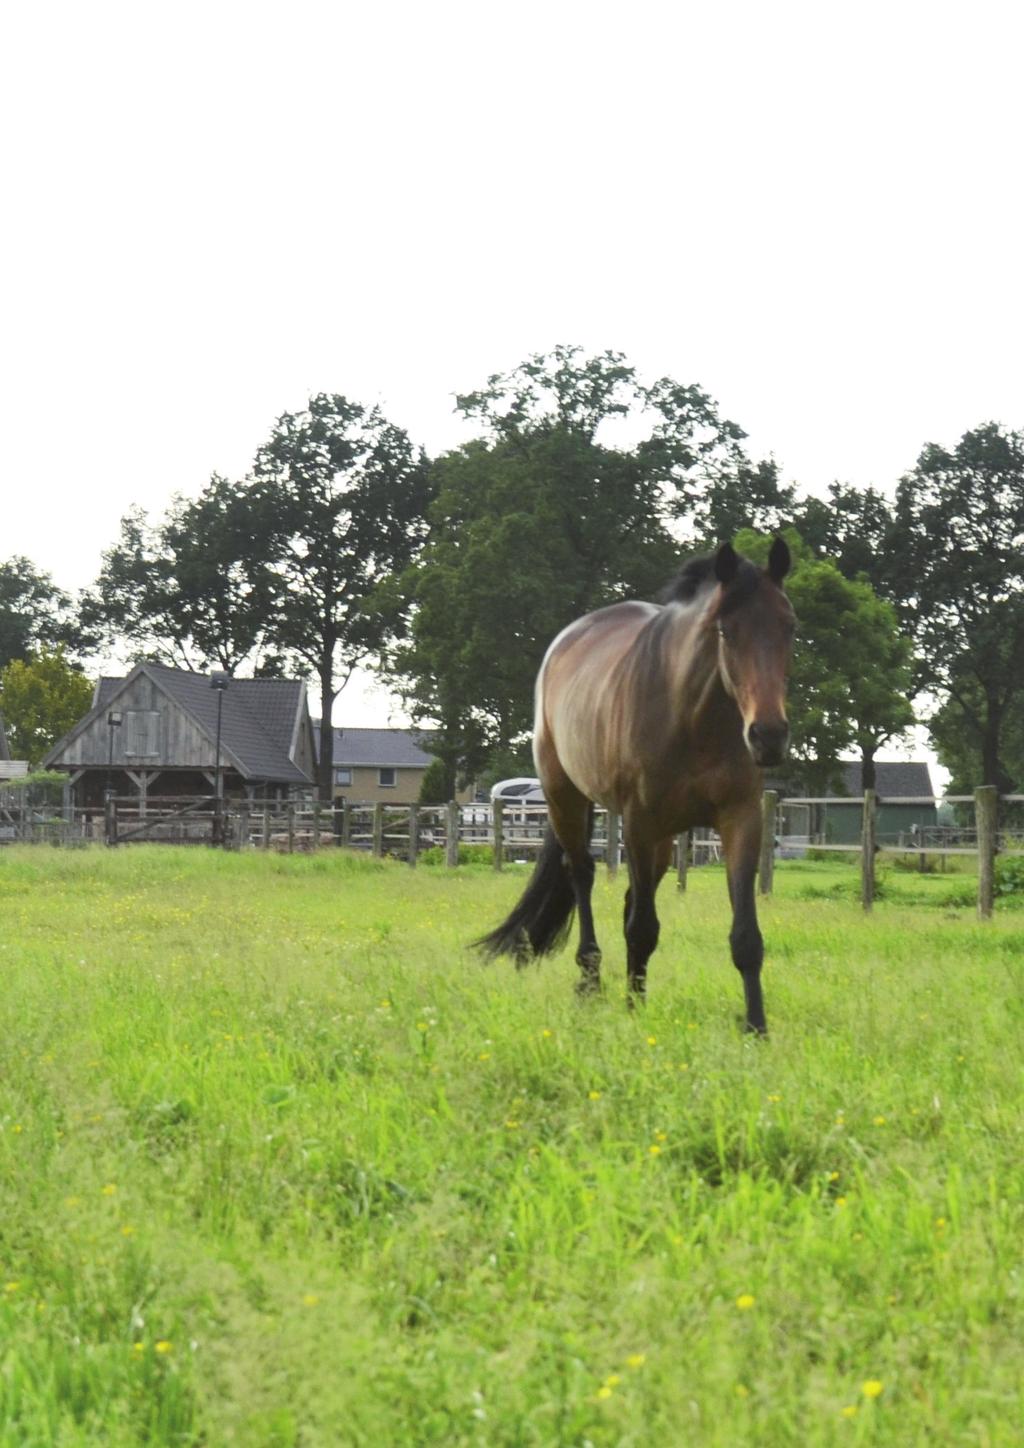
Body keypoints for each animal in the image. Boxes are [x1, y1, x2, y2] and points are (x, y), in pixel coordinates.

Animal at [477, 538, 799, 1036]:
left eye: (789, 627)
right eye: (725, 631)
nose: (768, 736)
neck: (694, 718)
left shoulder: (740, 819)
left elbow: (745, 935)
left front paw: (756, 1028)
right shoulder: (639, 822)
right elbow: (642, 928)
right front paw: (633, 1010)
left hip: (661, 839)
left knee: (631, 898)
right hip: (568, 800)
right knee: (583, 874)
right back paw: (590, 980)